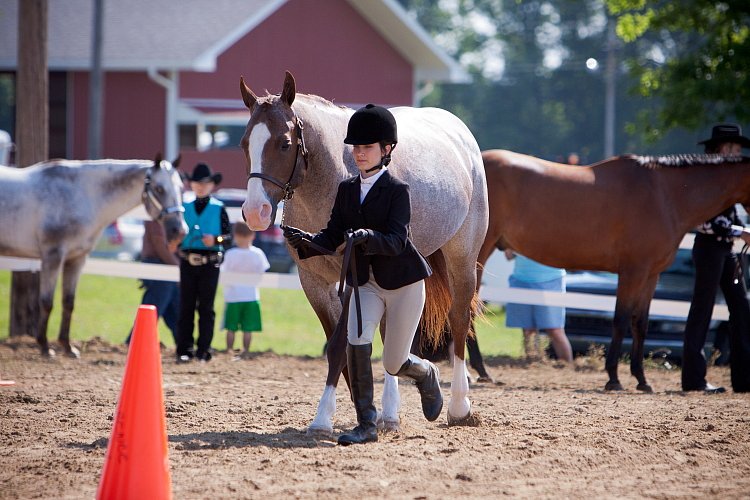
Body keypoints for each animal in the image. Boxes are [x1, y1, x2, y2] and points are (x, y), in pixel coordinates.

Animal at [0, 154, 187, 358]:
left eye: (181, 188)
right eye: (159, 188)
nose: (179, 230)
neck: (80, 194)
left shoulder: (76, 259)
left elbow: (68, 302)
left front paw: (68, 347)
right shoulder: (52, 256)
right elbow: (47, 302)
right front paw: (45, 347)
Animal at [238, 71, 490, 434]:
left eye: (285, 143)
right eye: (245, 144)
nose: (255, 212)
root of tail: (460, 133)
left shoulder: (350, 277)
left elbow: (341, 345)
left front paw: (326, 417)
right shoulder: (314, 282)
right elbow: (341, 350)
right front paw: (347, 413)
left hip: (462, 259)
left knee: (458, 319)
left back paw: (459, 407)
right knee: (392, 337)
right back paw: (391, 411)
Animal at [478, 148, 750, 390]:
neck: (664, 194)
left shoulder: (651, 274)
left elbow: (640, 322)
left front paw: (642, 380)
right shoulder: (632, 272)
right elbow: (621, 319)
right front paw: (613, 379)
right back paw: (481, 372)